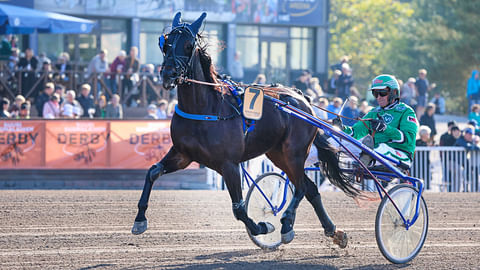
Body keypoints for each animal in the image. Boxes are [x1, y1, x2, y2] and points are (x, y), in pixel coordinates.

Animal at [133, 12, 358, 249]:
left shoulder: (229, 164)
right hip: (278, 154)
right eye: (165, 43)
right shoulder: (183, 154)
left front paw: (263, 227)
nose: (168, 74)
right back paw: (333, 231)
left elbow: (239, 208)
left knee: (301, 187)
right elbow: (152, 172)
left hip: (294, 152)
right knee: (310, 189)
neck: (205, 108)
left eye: (187, 45)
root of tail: (301, 97)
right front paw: (140, 219)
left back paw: (287, 223)